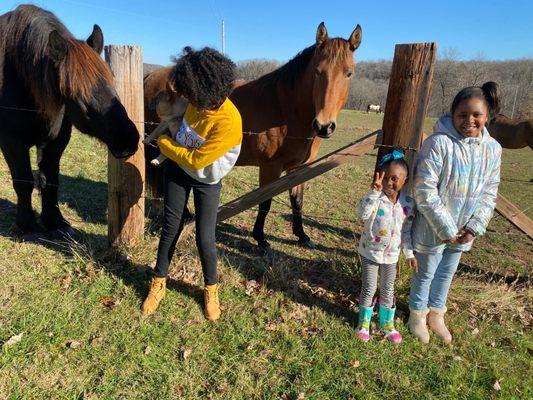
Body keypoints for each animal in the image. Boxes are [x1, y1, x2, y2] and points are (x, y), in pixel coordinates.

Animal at [0, 4, 139, 236]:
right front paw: (27, 225)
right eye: (74, 92)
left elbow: (50, 181)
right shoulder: (12, 142)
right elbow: (24, 181)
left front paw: (55, 222)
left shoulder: (56, 142)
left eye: (111, 81)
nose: (128, 140)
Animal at [230, 21, 360, 248]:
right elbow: (265, 202)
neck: (284, 107)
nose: (324, 126)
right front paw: (260, 238)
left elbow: (297, 201)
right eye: (317, 71)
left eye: (349, 73)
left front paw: (302, 235)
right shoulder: (270, 167)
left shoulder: (300, 168)